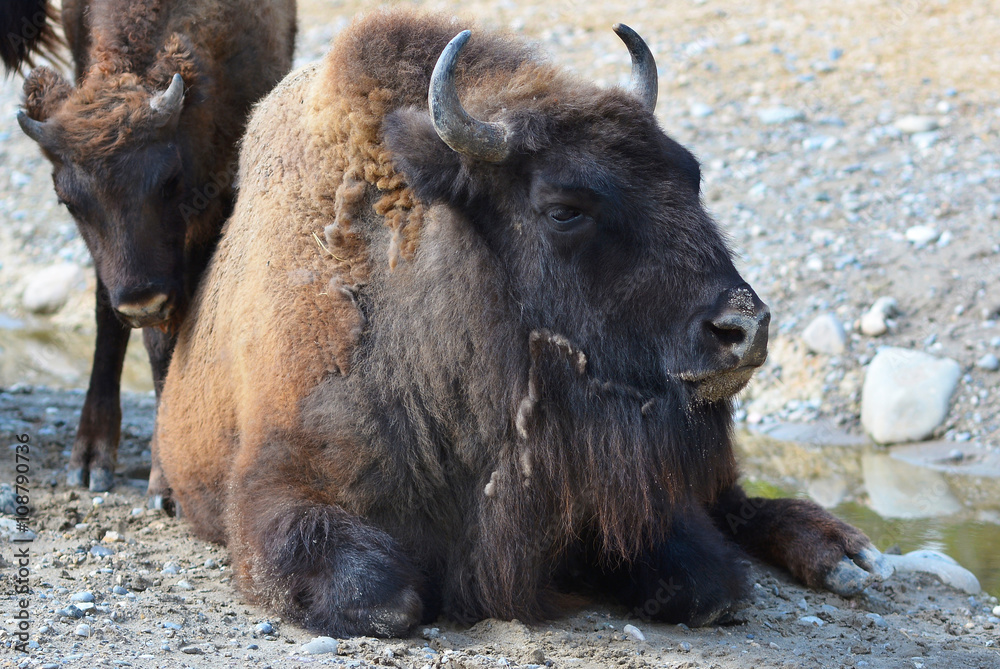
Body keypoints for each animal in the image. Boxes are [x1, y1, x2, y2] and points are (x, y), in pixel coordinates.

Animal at [10, 0, 296, 493]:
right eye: (68, 201)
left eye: (169, 180)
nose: (142, 303)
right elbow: (113, 320)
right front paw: (92, 462)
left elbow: (177, 336)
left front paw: (166, 479)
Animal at [155, 10, 892, 636]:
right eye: (565, 208)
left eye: (692, 175)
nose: (744, 328)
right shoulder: (279, 487)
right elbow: (386, 596)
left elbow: (705, 582)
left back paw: (846, 554)